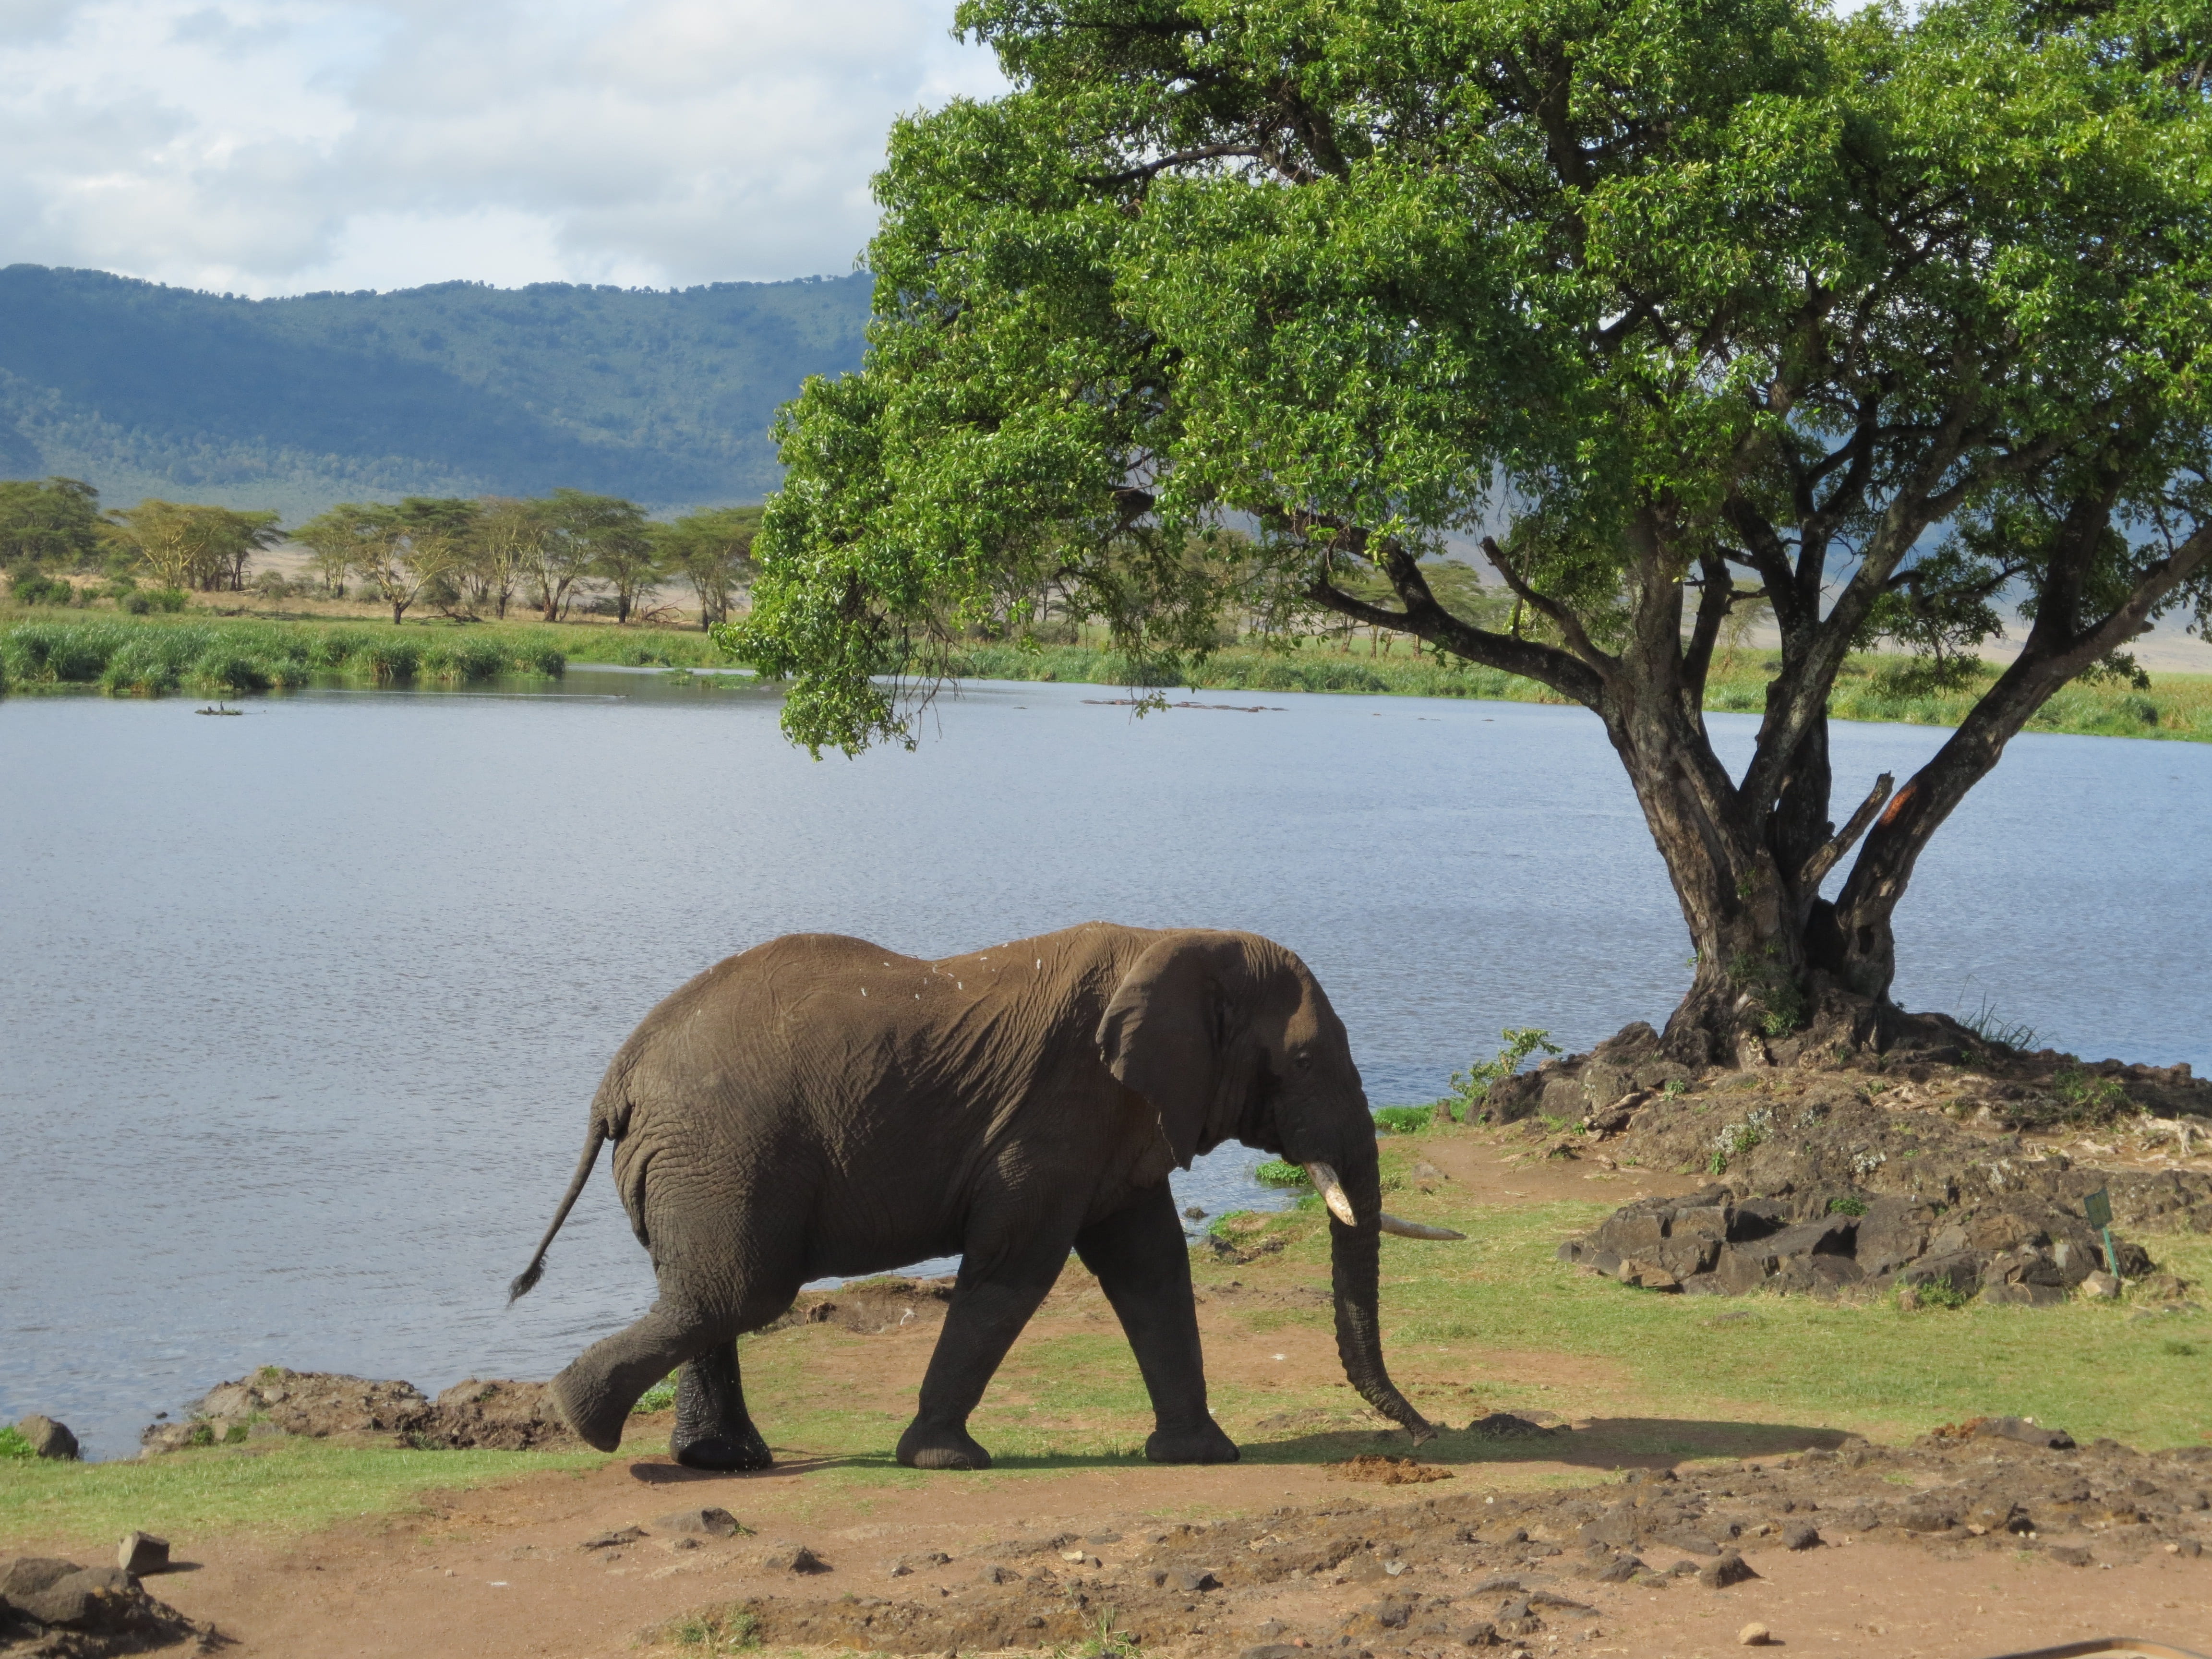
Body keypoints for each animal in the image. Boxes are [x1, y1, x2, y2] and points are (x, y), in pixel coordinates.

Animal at [510, 922, 1463, 1472]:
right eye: (1302, 1060)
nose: (1427, 1437)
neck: (1178, 941)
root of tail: (617, 1081)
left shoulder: (1116, 1118)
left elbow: (1151, 1269)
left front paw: (1201, 1456)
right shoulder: (1056, 1110)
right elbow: (1016, 1268)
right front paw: (944, 1460)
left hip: (699, 1160)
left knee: (708, 1296)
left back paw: (720, 1462)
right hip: (720, 1150)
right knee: (737, 1292)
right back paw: (580, 1423)